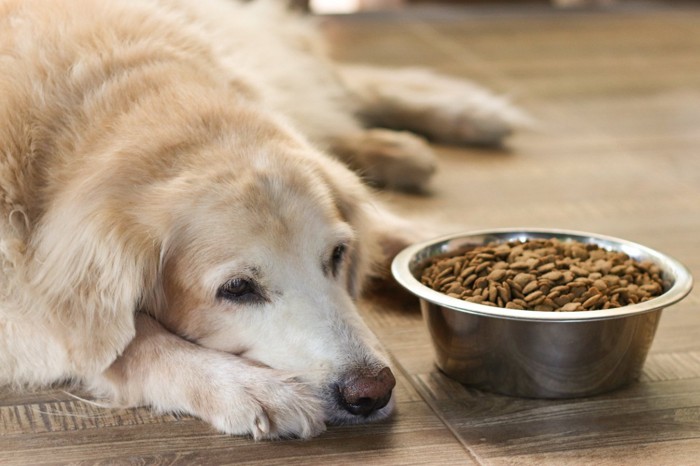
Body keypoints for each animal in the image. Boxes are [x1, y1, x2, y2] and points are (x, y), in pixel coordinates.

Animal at [0, 0, 524, 440]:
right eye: (236, 289)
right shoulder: (25, 305)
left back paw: (459, 118)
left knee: (332, 84)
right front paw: (247, 388)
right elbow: (127, 342)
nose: (372, 391)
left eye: (338, 254)